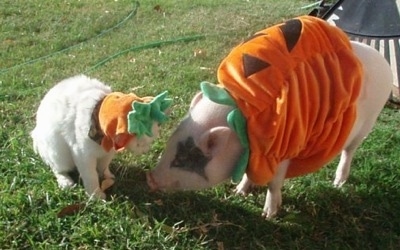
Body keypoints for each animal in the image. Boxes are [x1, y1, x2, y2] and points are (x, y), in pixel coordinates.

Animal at [31, 74, 168, 199]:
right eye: (142, 143)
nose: (146, 150)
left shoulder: (108, 152)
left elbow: (103, 166)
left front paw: (107, 176)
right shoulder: (83, 155)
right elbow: (91, 176)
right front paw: (96, 196)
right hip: (59, 154)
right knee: (57, 169)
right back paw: (65, 181)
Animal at [146, 16, 390, 219]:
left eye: (182, 160)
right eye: (168, 145)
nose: (150, 178)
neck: (241, 124)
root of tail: (384, 62)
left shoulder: (282, 152)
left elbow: (273, 184)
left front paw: (268, 216)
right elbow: (251, 175)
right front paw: (238, 193)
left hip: (368, 122)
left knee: (349, 152)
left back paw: (338, 184)